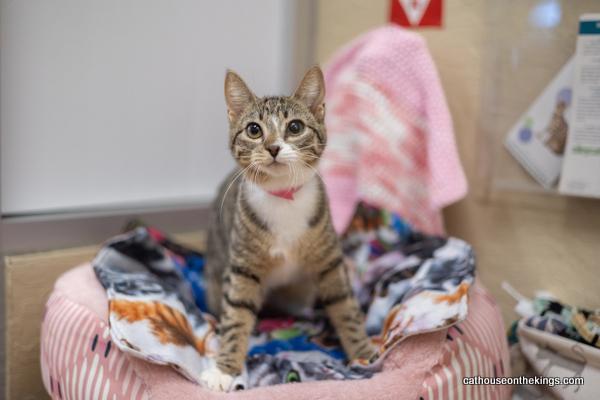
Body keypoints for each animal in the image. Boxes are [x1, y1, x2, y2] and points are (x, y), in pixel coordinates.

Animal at [203, 65, 376, 390]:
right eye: (254, 130)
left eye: (295, 127)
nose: (272, 147)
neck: (283, 196)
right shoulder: (241, 267)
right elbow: (236, 315)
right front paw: (224, 369)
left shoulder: (330, 261)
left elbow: (345, 305)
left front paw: (363, 352)